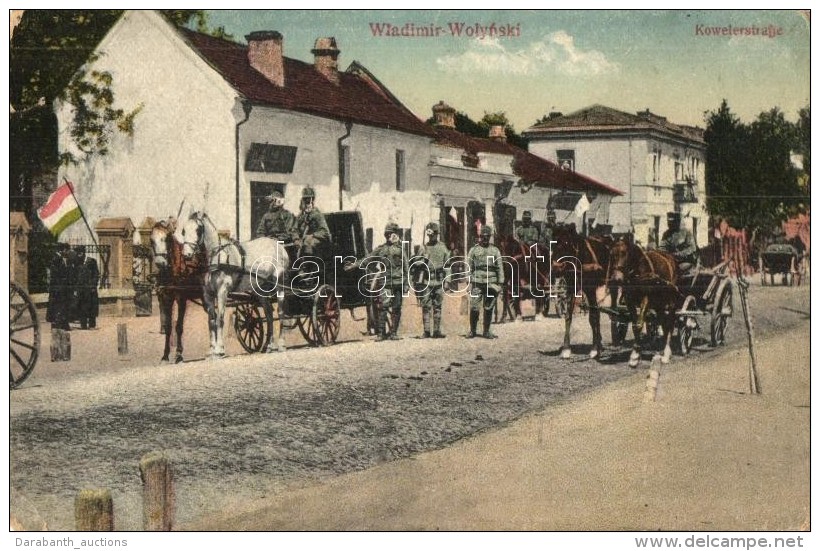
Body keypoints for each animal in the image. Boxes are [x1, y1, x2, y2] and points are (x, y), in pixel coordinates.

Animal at [152, 218, 207, 364]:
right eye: (151, 240)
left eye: (166, 239)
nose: (160, 263)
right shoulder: (166, 298)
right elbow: (168, 327)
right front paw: (165, 355)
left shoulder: (181, 299)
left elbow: (179, 326)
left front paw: (178, 354)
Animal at [178, 210, 290, 358]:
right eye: (183, 230)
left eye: (198, 230)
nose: (187, 255)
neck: (217, 256)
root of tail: (279, 246)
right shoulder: (207, 294)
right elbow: (211, 321)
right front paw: (211, 350)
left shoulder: (222, 291)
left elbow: (220, 319)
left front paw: (220, 349)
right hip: (261, 289)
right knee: (269, 314)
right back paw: (269, 345)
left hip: (280, 284)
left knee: (281, 311)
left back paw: (282, 344)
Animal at [548, 225, 620, 362]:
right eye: (552, 243)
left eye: (566, 243)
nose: (556, 269)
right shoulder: (571, 288)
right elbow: (568, 316)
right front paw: (566, 349)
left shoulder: (590, 288)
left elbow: (593, 316)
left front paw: (594, 350)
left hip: (612, 284)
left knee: (609, 309)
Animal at [612, 237, 684, 366]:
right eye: (612, 254)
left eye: (624, 253)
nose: (616, 279)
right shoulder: (629, 301)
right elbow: (635, 326)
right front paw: (635, 354)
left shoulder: (646, 299)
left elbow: (639, 324)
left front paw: (635, 355)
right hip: (659, 304)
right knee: (663, 322)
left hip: (671, 302)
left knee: (670, 323)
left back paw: (666, 353)